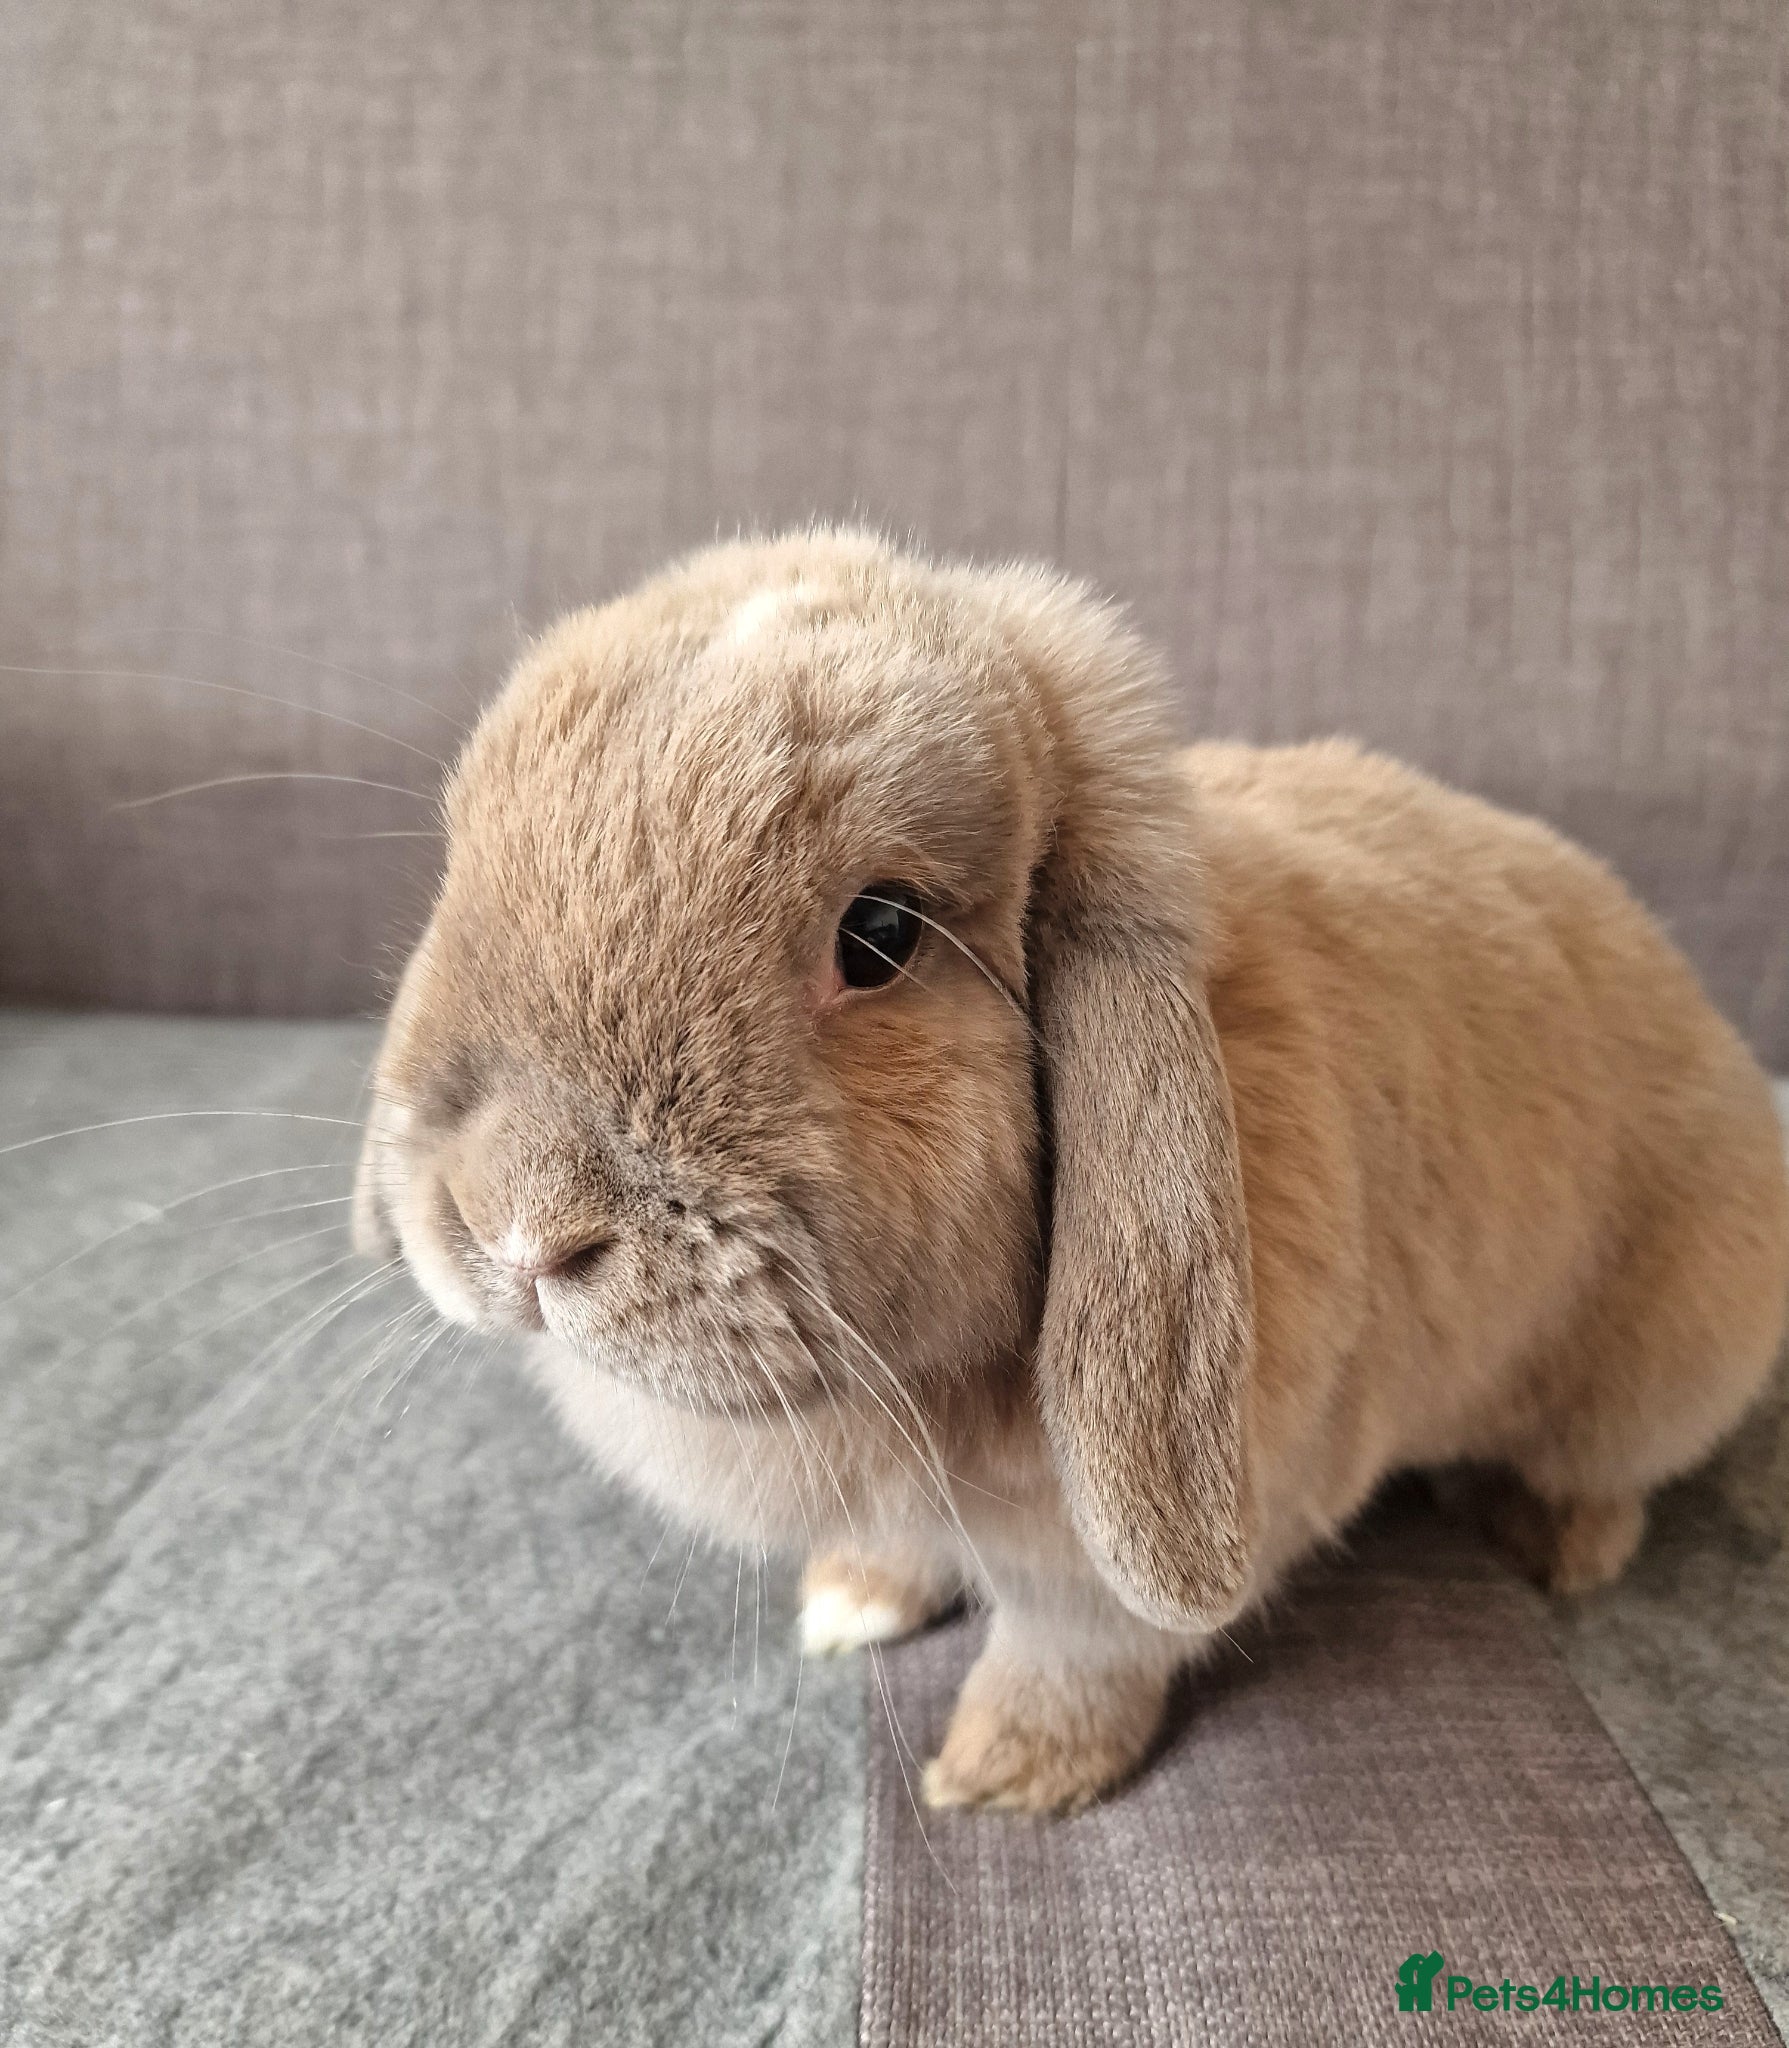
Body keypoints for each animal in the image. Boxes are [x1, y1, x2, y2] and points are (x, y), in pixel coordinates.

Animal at [353, 528, 1789, 1813]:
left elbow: (1075, 1651)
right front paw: (852, 1602)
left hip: (1647, 1368)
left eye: (880, 934)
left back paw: (1558, 1548)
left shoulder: (1110, 1568)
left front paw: (1001, 1777)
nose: (516, 1224)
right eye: (466, 856)